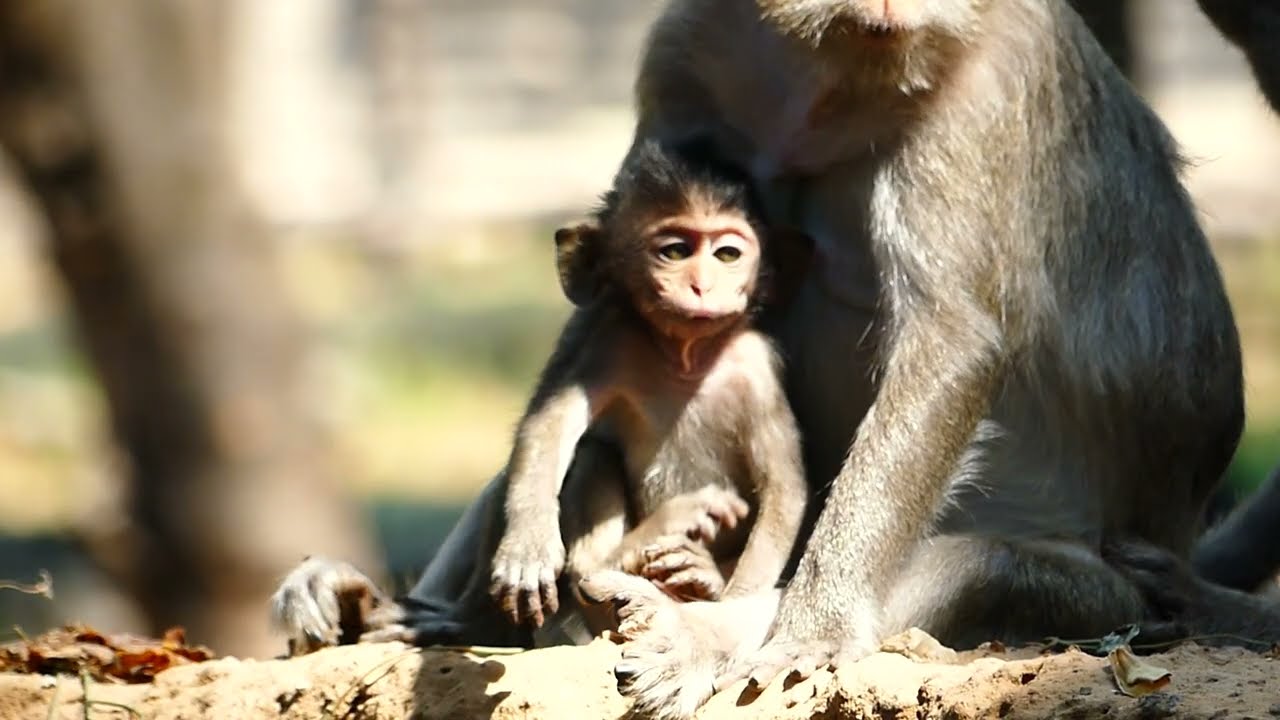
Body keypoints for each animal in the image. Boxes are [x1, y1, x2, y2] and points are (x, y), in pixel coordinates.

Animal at [271, 137, 810, 653]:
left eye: (727, 254)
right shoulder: (609, 339)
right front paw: (527, 549)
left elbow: (784, 488)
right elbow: (551, 425)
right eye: (675, 251)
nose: (703, 286)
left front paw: (729, 604)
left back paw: (696, 576)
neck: (687, 357)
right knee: (590, 455)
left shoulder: (757, 367)